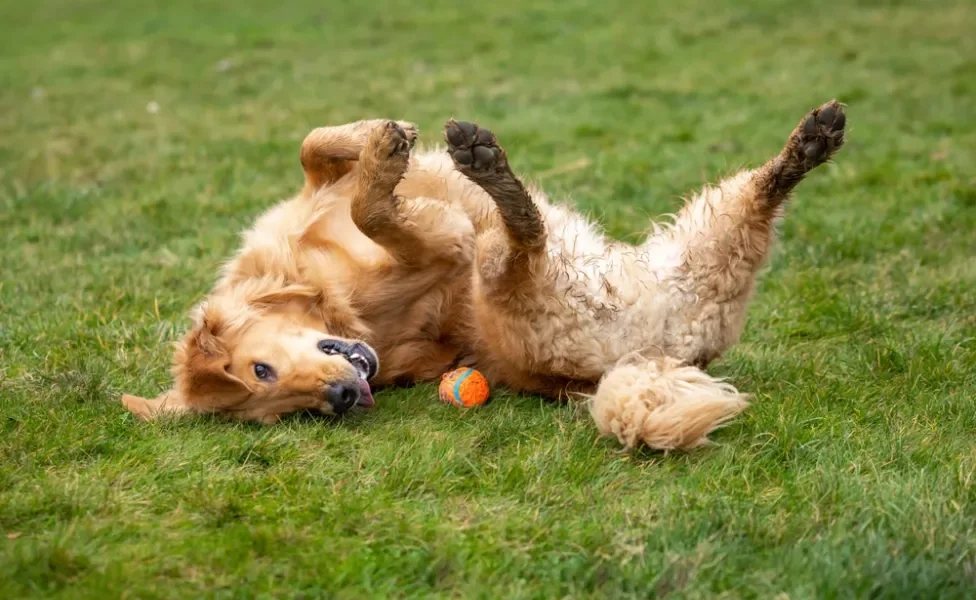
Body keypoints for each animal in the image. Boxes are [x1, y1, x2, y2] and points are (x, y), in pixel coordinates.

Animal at [124, 102, 848, 450]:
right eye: (284, 411)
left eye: (261, 370)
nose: (340, 400)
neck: (313, 284)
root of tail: (646, 358)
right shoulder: (446, 247)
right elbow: (374, 207)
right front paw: (387, 160)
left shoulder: (314, 202)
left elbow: (317, 146)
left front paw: (382, 137)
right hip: (517, 282)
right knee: (523, 241)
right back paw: (495, 176)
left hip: (699, 243)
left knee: (758, 195)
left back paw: (809, 144)